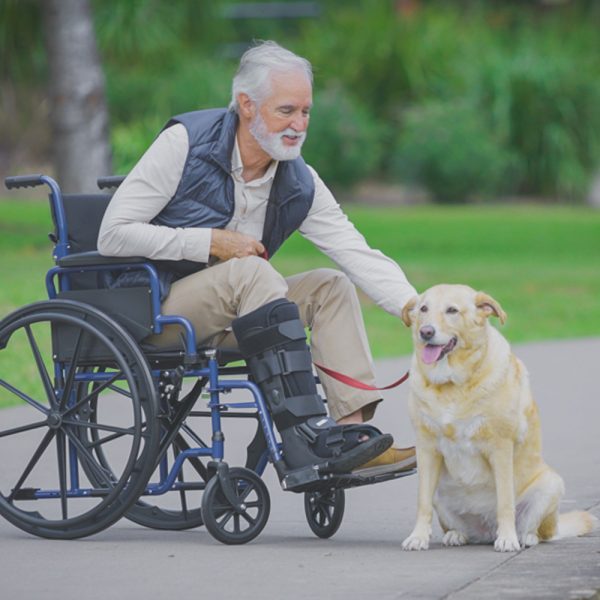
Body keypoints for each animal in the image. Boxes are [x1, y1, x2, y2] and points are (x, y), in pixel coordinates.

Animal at [400, 284, 592, 552]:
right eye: (423, 309)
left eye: (452, 310)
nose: (425, 332)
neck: (452, 384)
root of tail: (487, 530)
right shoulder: (426, 449)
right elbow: (422, 502)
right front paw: (418, 536)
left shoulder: (500, 448)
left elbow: (505, 502)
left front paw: (508, 538)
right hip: (440, 491)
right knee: (453, 523)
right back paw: (456, 535)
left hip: (551, 484)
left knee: (540, 531)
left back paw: (524, 537)